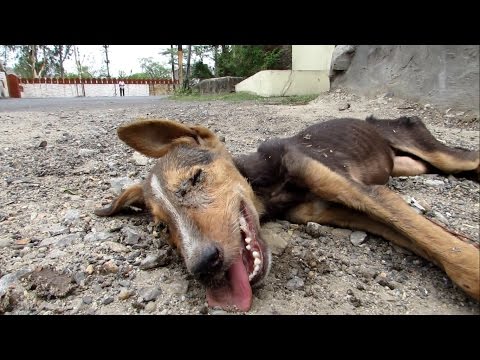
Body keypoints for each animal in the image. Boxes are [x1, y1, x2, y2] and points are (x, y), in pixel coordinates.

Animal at [94, 116, 480, 312]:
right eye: (163, 227)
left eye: (195, 179)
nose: (202, 266)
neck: (267, 184)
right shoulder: (337, 210)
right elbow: (427, 239)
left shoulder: (363, 191)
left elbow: (451, 252)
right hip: (409, 165)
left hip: (436, 151)